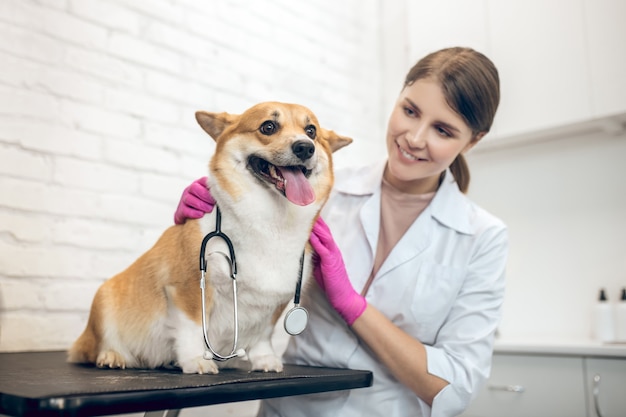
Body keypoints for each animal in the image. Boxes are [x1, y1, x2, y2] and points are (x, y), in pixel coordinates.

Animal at [69, 101, 352, 374]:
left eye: (311, 131)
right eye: (268, 127)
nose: (305, 148)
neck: (271, 222)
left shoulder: (274, 305)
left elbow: (263, 334)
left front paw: (265, 360)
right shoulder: (188, 289)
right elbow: (193, 328)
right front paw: (196, 360)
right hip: (103, 301)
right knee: (95, 348)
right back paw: (112, 356)